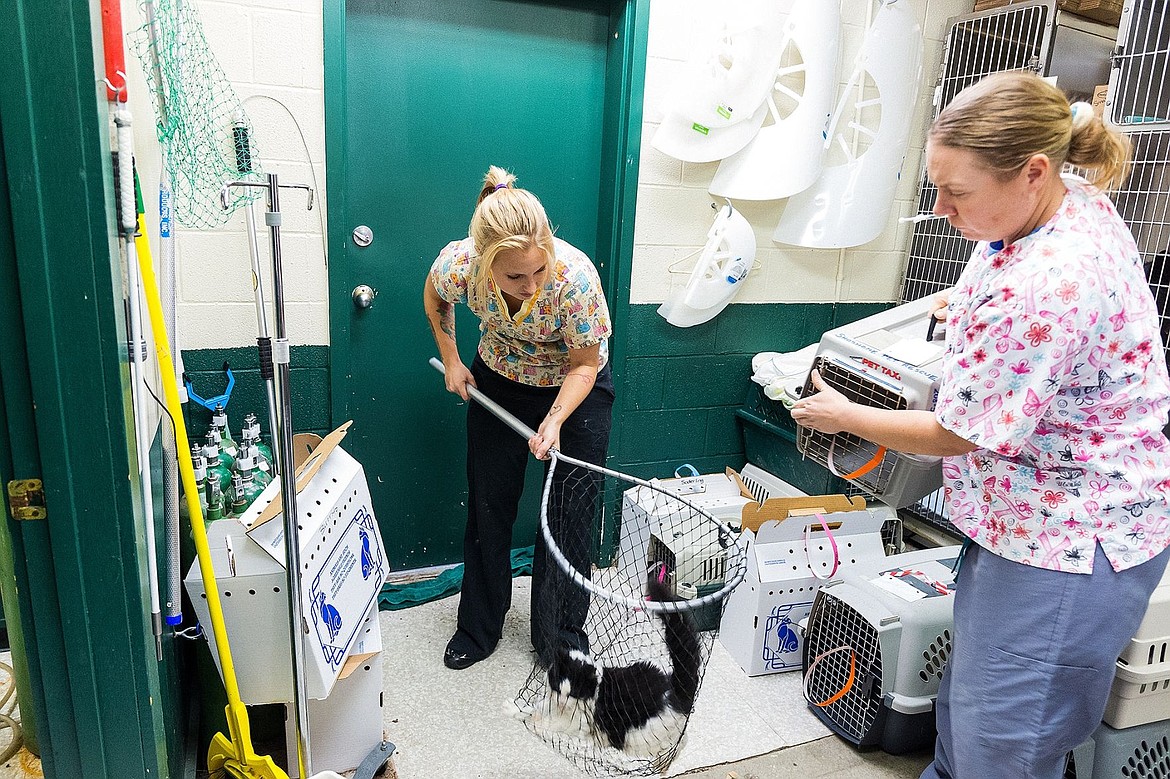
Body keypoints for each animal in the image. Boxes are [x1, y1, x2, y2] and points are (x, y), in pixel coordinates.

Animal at [517, 570, 697, 757]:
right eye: (559, 690)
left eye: (573, 694)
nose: (561, 703)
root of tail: (675, 692)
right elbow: (535, 708)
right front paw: (516, 709)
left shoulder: (576, 722)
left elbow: (544, 722)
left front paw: (530, 720)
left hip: (637, 734)